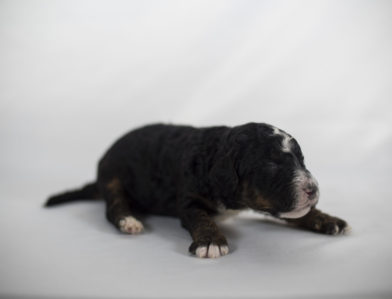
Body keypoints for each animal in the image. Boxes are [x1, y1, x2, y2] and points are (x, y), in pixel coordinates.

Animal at [45, 123, 350, 258]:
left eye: (301, 160)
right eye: (273, 165)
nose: (313, 189)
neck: (215, 155)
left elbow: (301, 214)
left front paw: (328, 219)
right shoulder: (189, 200)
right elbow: (202, 218)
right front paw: (211, 241)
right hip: (113, 177)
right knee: (113, 206)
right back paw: (128, 221)